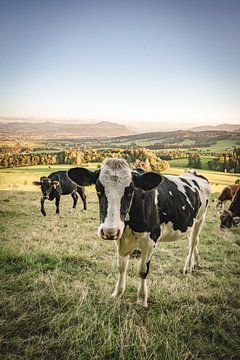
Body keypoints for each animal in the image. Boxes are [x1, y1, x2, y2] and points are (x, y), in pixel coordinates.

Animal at [67, 159, 210, 308]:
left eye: (130, 191)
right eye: (98, 189)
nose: (109, 230)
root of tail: (194, 174)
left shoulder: (150, 241)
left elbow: (142, 270)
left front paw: (142, 299)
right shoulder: (121, 240)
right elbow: (121, 267)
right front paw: (117, 293)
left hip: (200, 219)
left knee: (193, 243)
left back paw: (187, 267)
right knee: (195, 242)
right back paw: (195, 263)